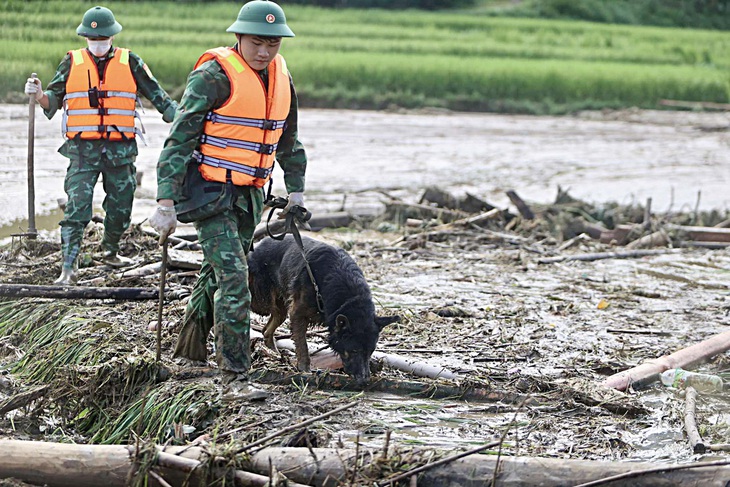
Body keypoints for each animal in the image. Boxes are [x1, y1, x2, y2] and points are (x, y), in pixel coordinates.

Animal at [249, 236, 398, 386]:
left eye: (371, 352)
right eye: (354, 351)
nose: (364, 381)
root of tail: (259, 244)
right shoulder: (298, 313)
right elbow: (302, 345)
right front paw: (304, 368)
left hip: (280, 308)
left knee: (266, 330)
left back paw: (273, 352)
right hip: (262, 302)